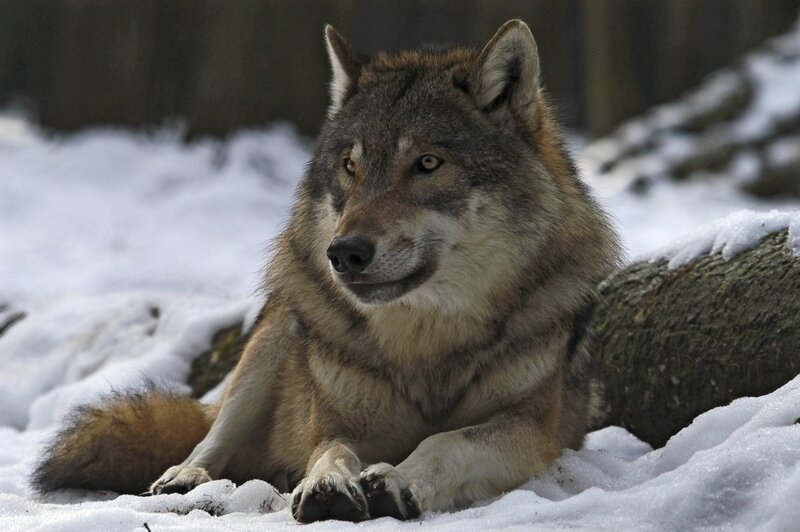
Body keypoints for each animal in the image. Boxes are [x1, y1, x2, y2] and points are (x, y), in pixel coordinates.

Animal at [32, 20, 620, 522]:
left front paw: (396, 480)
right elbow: (330, 450)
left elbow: (446, 441)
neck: (425, 344)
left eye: (427, 163)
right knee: (210, 435)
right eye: (350, 167)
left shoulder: (531, 429)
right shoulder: (337, 421)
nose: (345, 253)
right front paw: (329, 484)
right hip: (277, 336)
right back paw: (183, 478)